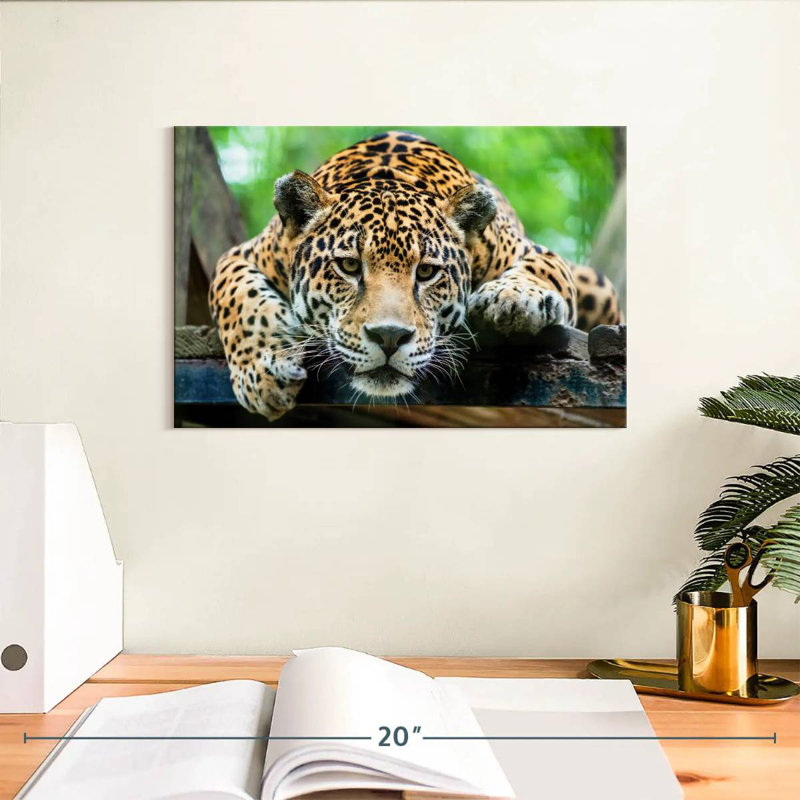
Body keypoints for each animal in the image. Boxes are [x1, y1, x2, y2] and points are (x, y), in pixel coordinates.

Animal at [208, 131, 623, 420]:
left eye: (426, 272)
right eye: (349, 266)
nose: (389, 337)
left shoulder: (532, 251)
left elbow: (541, 270)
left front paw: (513, 298)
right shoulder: (241, 255)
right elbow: (239, 300)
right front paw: (262, 374)